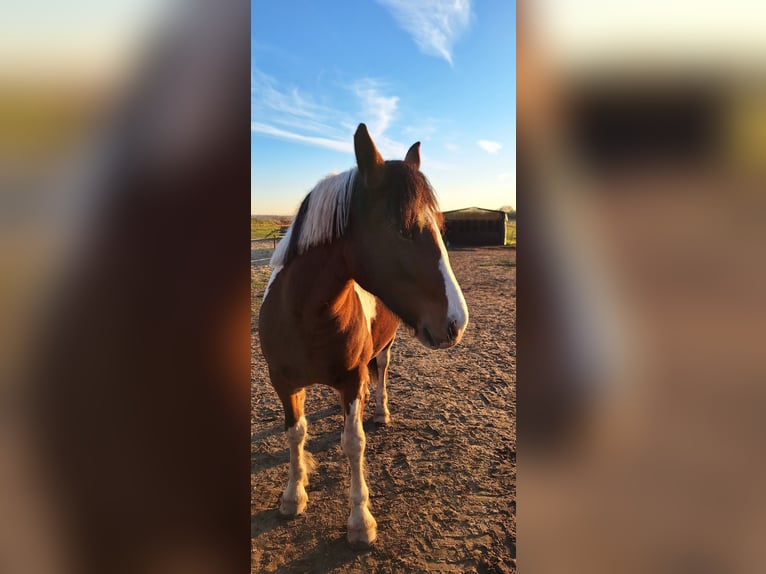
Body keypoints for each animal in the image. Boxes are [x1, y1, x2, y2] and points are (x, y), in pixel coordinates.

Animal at [260, 125, 472, 548]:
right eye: (404, 229)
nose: (457, 322)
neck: (303, 315)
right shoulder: (283, 381)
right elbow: (295, 433)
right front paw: (293, 495)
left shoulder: (351, 379)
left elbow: (353, 442)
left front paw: (360, 521)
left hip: (384, 350)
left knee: (382, 372)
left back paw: (380, 410)